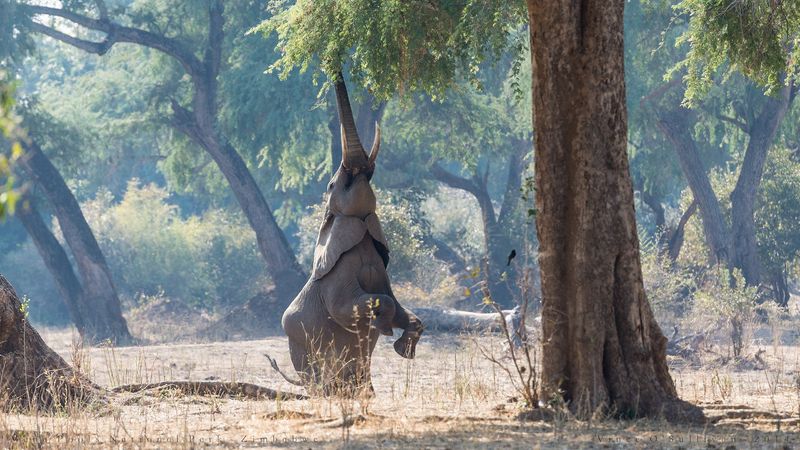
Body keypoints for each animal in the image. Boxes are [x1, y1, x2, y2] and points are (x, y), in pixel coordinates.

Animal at [280, 77, 423, 395]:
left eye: (369, 178)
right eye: (333, 185)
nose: (363, 169)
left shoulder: (382, 269)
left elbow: (402, 308)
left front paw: (402, 346)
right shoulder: (336, 281)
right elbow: (350, 309)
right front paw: (382, 327)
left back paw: (363, 393)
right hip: (300, 347)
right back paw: (330, 392)